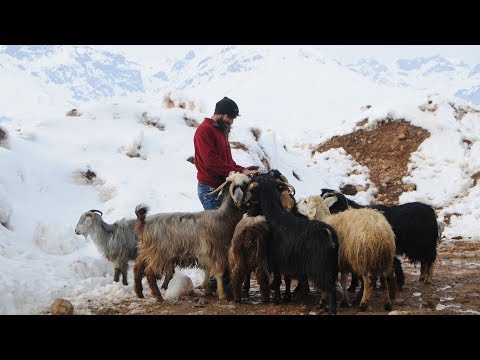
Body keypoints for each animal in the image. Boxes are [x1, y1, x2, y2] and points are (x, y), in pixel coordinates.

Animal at [131, 172, 251, 300]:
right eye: (245, 185)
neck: (224, 218)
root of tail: (144, 224)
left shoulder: (205, 253)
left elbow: (207, 270)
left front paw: (206, 288)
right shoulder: (217, 252)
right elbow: (219, 273)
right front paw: (222, 294)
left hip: (146, 251)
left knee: (137, 268)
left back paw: (139, 293)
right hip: (159, 254)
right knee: (149, 272)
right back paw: (158, 296)